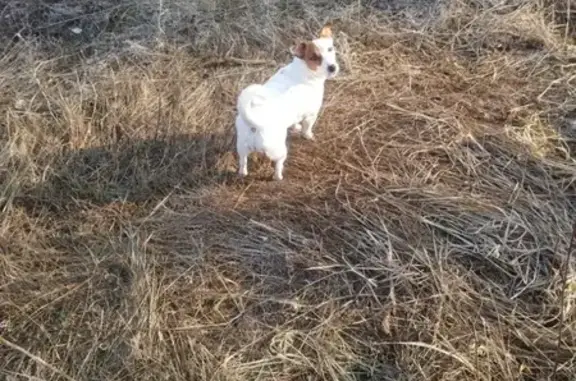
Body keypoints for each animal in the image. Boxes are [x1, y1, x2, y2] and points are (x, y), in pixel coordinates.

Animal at [236, 24, 340, 181]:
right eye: (314, 58)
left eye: (330, 49)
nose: (332, 67)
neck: (304, 69)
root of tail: (254, 124)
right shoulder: (311, 115)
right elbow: (307, 128)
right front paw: (308, 135)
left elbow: (295, 122)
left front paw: (296, 127)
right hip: (278, 150)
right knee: (278, 163)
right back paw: (278, 176)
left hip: (241, 147)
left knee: (243, 162)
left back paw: (243, 172)